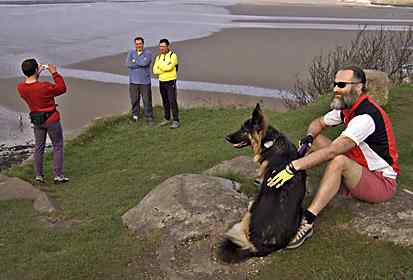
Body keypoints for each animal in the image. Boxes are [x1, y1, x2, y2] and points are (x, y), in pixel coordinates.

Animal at [219, 104, 306, 264]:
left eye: (244, 130)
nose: (226, 137)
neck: (269, 142)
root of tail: (260, 246)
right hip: (300, 211)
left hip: (251, 212)